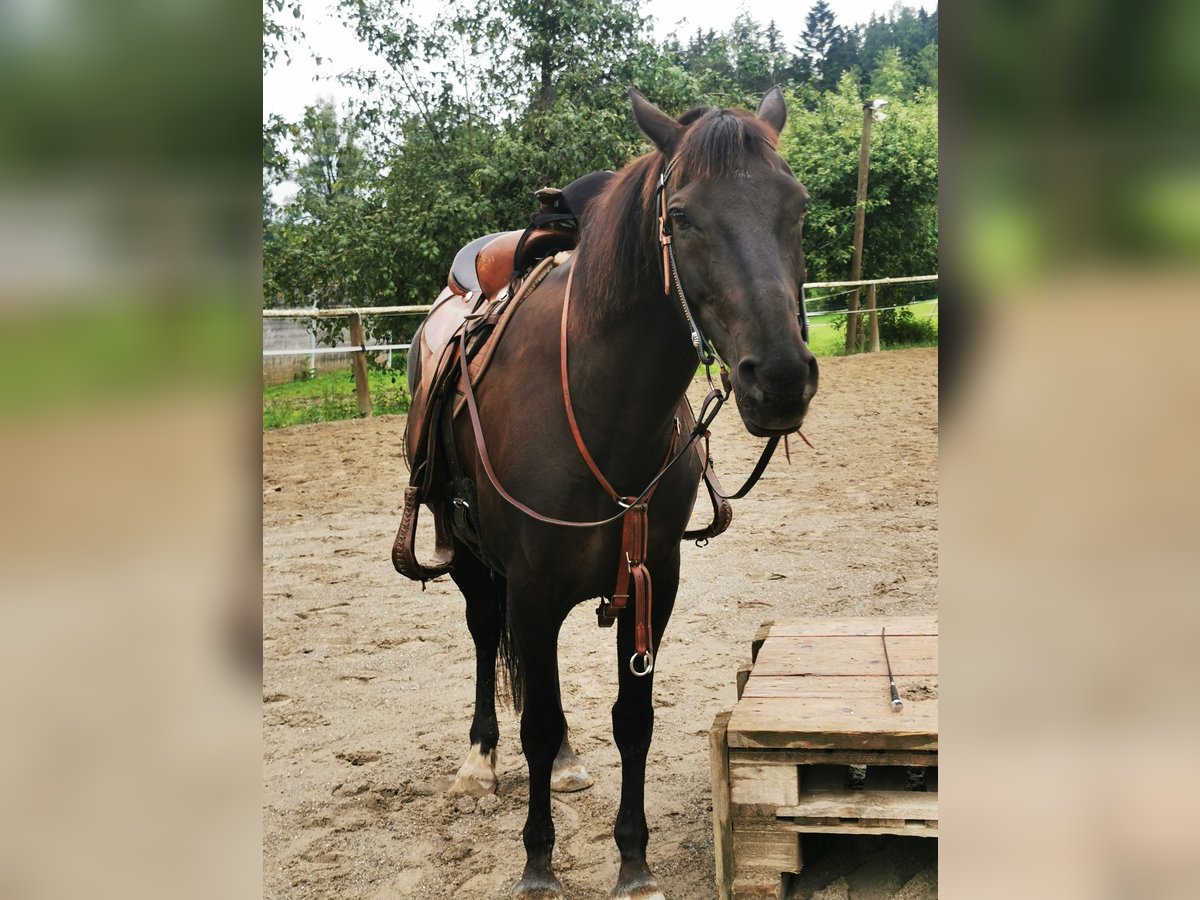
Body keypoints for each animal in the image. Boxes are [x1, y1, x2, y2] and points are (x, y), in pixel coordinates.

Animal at [405, 88, 816, 897]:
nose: (782, 378)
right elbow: (536, 721)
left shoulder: (653, 576)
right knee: (486, 637)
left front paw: (633, 861)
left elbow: (632, 719)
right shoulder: (530, 581)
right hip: (469, 552)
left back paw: (565, 766)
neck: (601, 410)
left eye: (799, 206)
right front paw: (538, 864)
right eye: (681, 215)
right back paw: (479, 761)